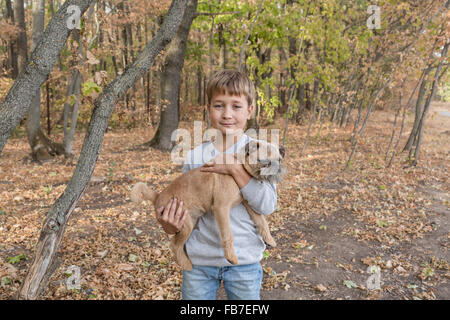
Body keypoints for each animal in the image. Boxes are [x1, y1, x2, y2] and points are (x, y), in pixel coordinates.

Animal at [130, 140, 284, 270]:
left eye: (279, 160)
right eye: (266, 161)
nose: (279, 169)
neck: (241, 166)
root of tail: (157, 196)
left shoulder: (249, 204)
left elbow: (261, 221)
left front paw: (269, 239)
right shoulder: (221, 208)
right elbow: (228, 235)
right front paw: (231, 257)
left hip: (189, 222)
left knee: (175, 242)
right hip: (186, 224)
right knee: (174, 245)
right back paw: (186, 265)